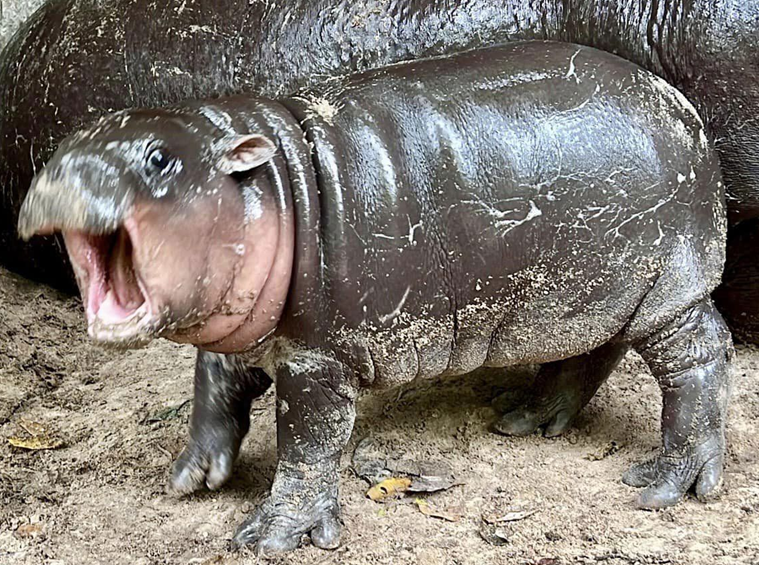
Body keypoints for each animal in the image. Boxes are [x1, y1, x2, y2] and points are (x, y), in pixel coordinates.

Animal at [18, 42, 732, 553]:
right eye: (66, 143)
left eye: (160, 158)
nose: (61, 174)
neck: (276, 187)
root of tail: (684, 107)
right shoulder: (243, 329)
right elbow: (213, 390)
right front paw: (191, 476)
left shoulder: (316, 359)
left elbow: (309, 442)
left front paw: (270, 537)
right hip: (582, 297)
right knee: (589, 353)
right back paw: (522, 416)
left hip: (668, 292)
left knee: (700, 357)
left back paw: (664, 485)